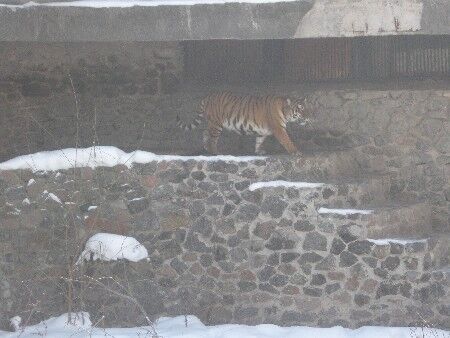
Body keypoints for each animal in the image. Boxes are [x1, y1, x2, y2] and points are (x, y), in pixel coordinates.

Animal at [176, 92, 310, 156]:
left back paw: (206, 148)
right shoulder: (279, 129)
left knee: (205, 132)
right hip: (216, 124)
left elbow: (259, 141)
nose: (308, 117)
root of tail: (208, 96)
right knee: (212, 139)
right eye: (300, 109)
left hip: (212, 123)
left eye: (307, 108)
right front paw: (296, 152)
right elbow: (287, 141)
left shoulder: (263, 131)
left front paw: (258, 151)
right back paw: (215, 152)